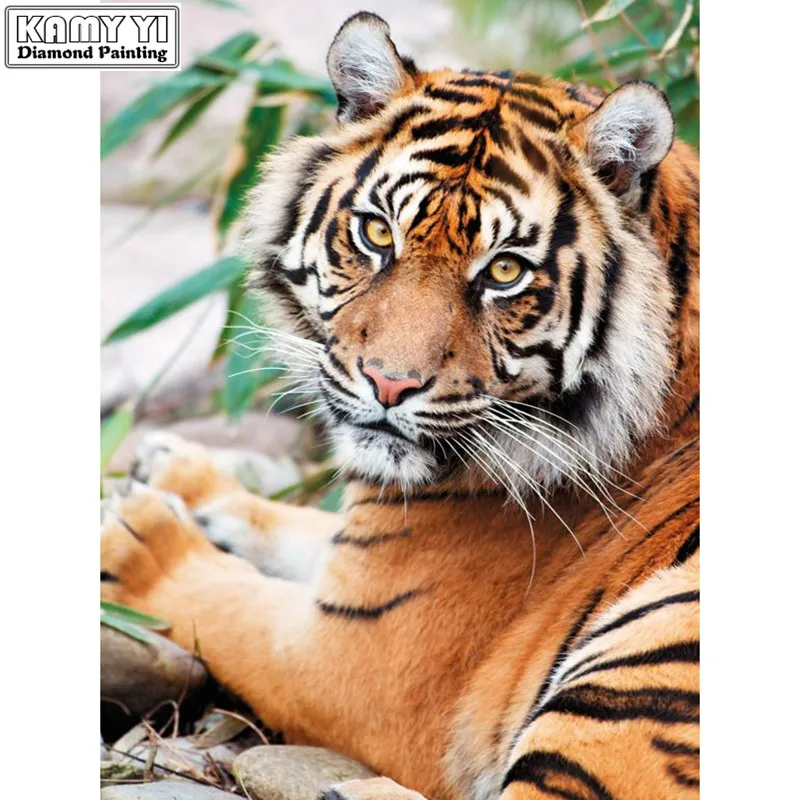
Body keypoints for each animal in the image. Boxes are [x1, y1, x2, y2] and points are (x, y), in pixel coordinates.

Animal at [101, 11, 699, 800]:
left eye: (504, 272)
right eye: (377, 233)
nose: (388, 383)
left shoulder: (354, 655)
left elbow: (227, 605)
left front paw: (140, 540)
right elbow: (301, 529)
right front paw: (180, 472)